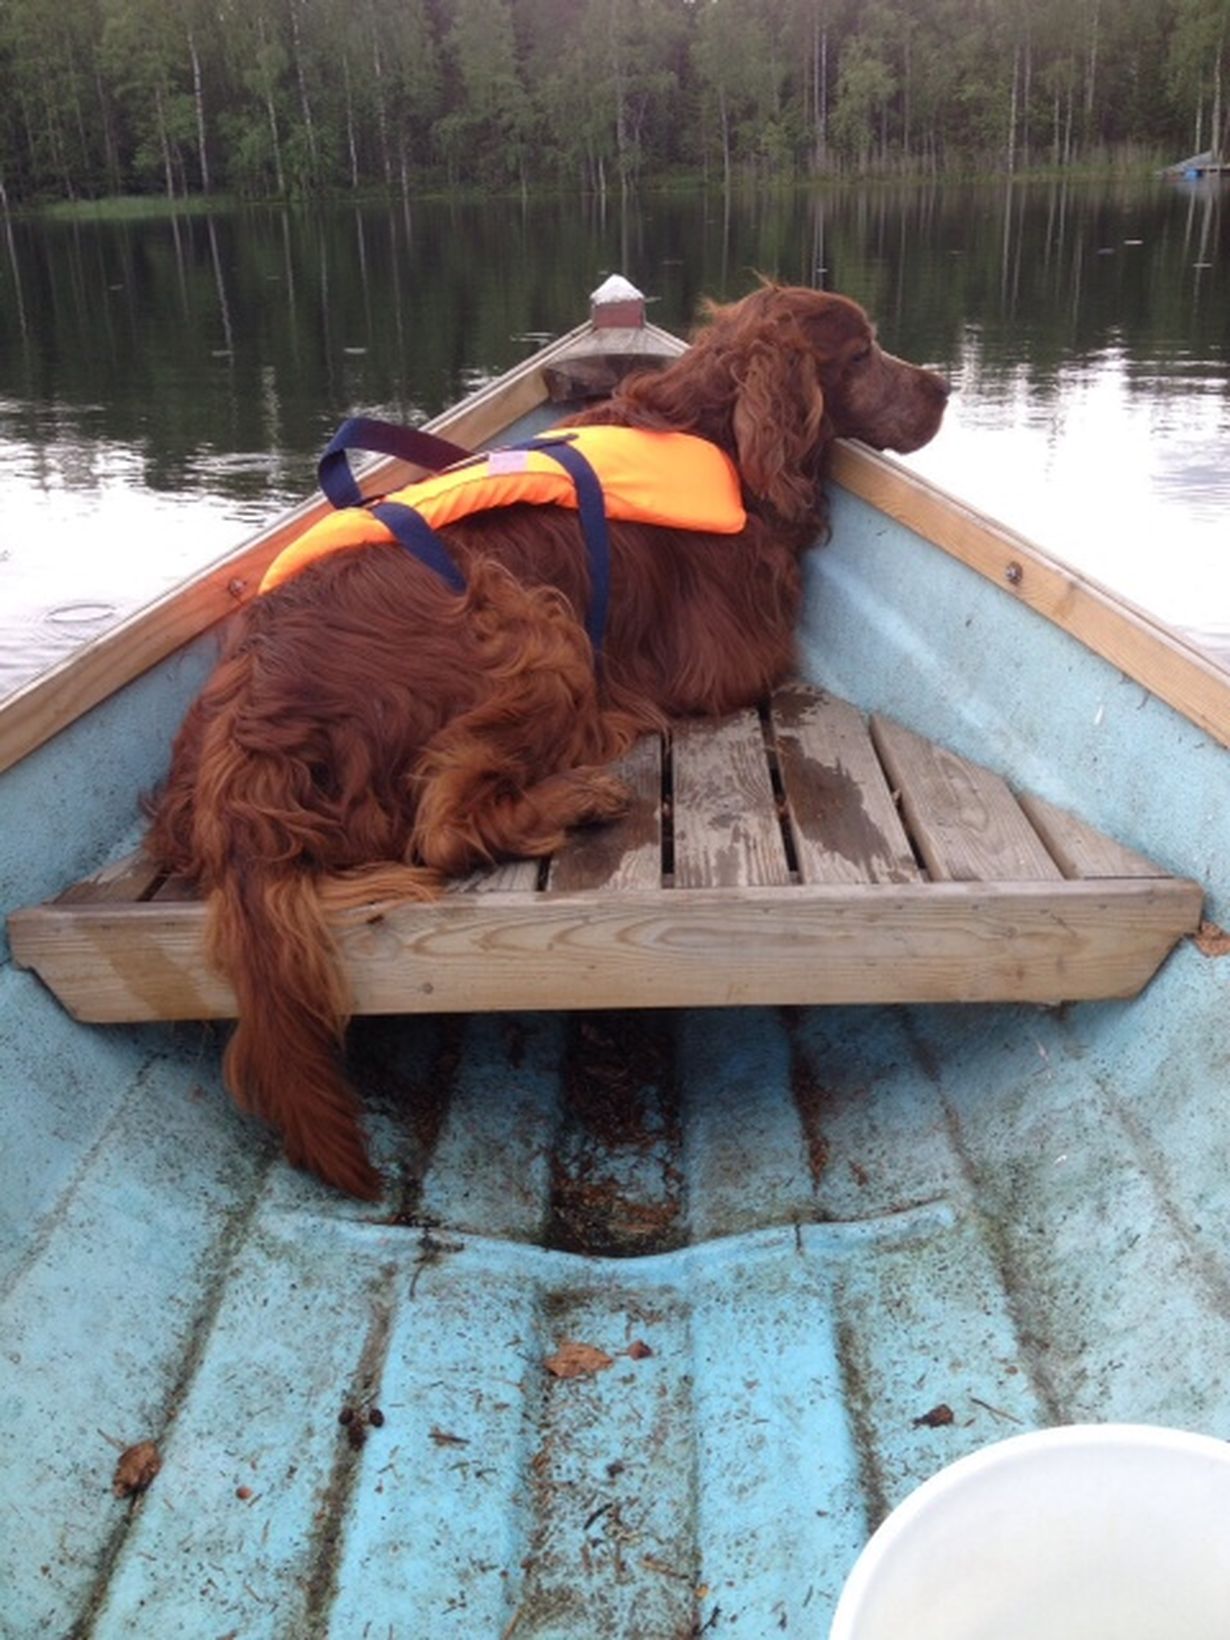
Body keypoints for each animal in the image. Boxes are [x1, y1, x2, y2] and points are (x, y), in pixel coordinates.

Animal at [146, 283, 949, 1198]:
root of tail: (248, 751)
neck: (713, 430)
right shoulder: (731, 664)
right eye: (861, 352)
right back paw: (582, 793)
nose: (943, 390)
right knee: (446, 824)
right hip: (528, 618)